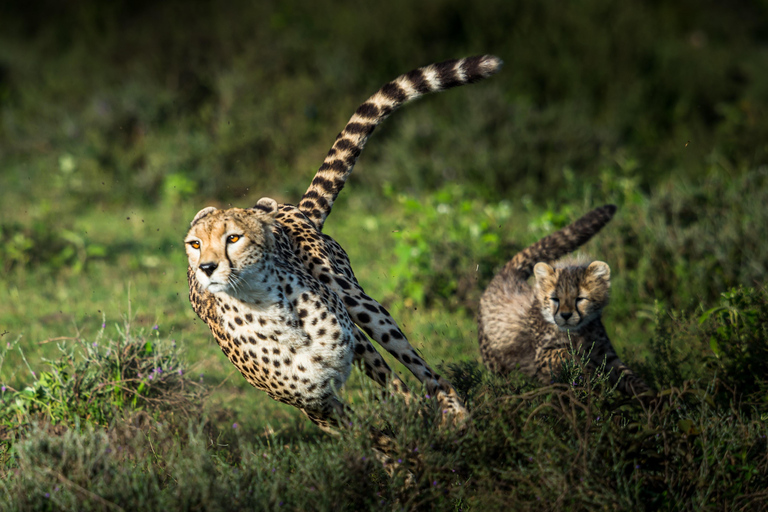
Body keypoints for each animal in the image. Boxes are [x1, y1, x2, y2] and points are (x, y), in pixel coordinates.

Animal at [184, 56, 500, 460]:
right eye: (195, 244)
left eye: (234, 238)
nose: (206, 268)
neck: (268, 311)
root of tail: (287, 208)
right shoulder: (314, 404)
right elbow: (369, 435)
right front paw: (401, 462)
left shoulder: (355, 347)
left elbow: (398, 395)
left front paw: (420, 441)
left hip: (357, 301)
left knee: (420, 370)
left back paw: (454, 413)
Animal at [476, 206, 652, 398]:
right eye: (555, 299)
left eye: (580, 299)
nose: (566, 315)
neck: (576, 332)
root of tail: (507, 275)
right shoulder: (540, 356)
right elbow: (566, 353)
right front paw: (585, 369)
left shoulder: (605, 354)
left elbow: (628, 376)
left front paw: (652, 398)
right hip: (495, 362)